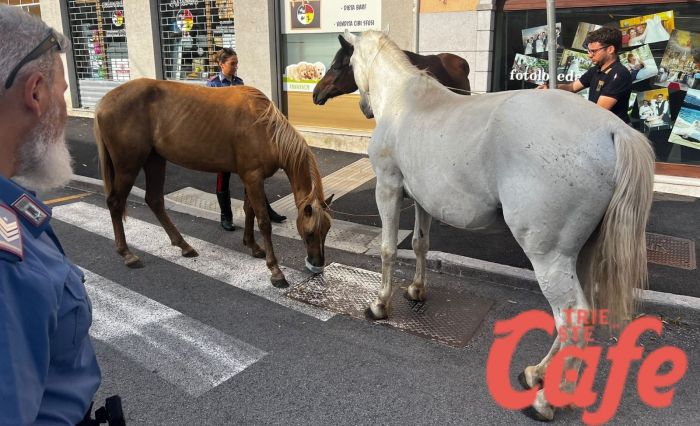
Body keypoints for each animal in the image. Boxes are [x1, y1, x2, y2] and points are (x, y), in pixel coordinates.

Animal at [94, 78, 333, 288]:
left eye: (327, 231)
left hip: (155, 160)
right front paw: (275, 271)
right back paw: (127, 254)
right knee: (115, 203)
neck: (265, 128)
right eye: (310, 233)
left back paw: (184, 246)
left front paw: (253, 246)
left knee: (154, 200)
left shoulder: (249, 177)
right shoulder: (253, 177)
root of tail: (104, 102)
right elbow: (264, 221)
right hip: (128, 166)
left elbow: (249, 211)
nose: (317, 266)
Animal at [340, 30, 655, 421]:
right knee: (582, 317)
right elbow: (419, 244)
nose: (364, 108)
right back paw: (537, 373)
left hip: (550, 257)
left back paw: (547, 400)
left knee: (574, 318)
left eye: (348, 62)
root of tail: (614, 129)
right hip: (580, 255)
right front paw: (417, 290)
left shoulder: (388, 188)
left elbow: (387, 250)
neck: (404, 102)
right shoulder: (423, 200)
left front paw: (380, 304)